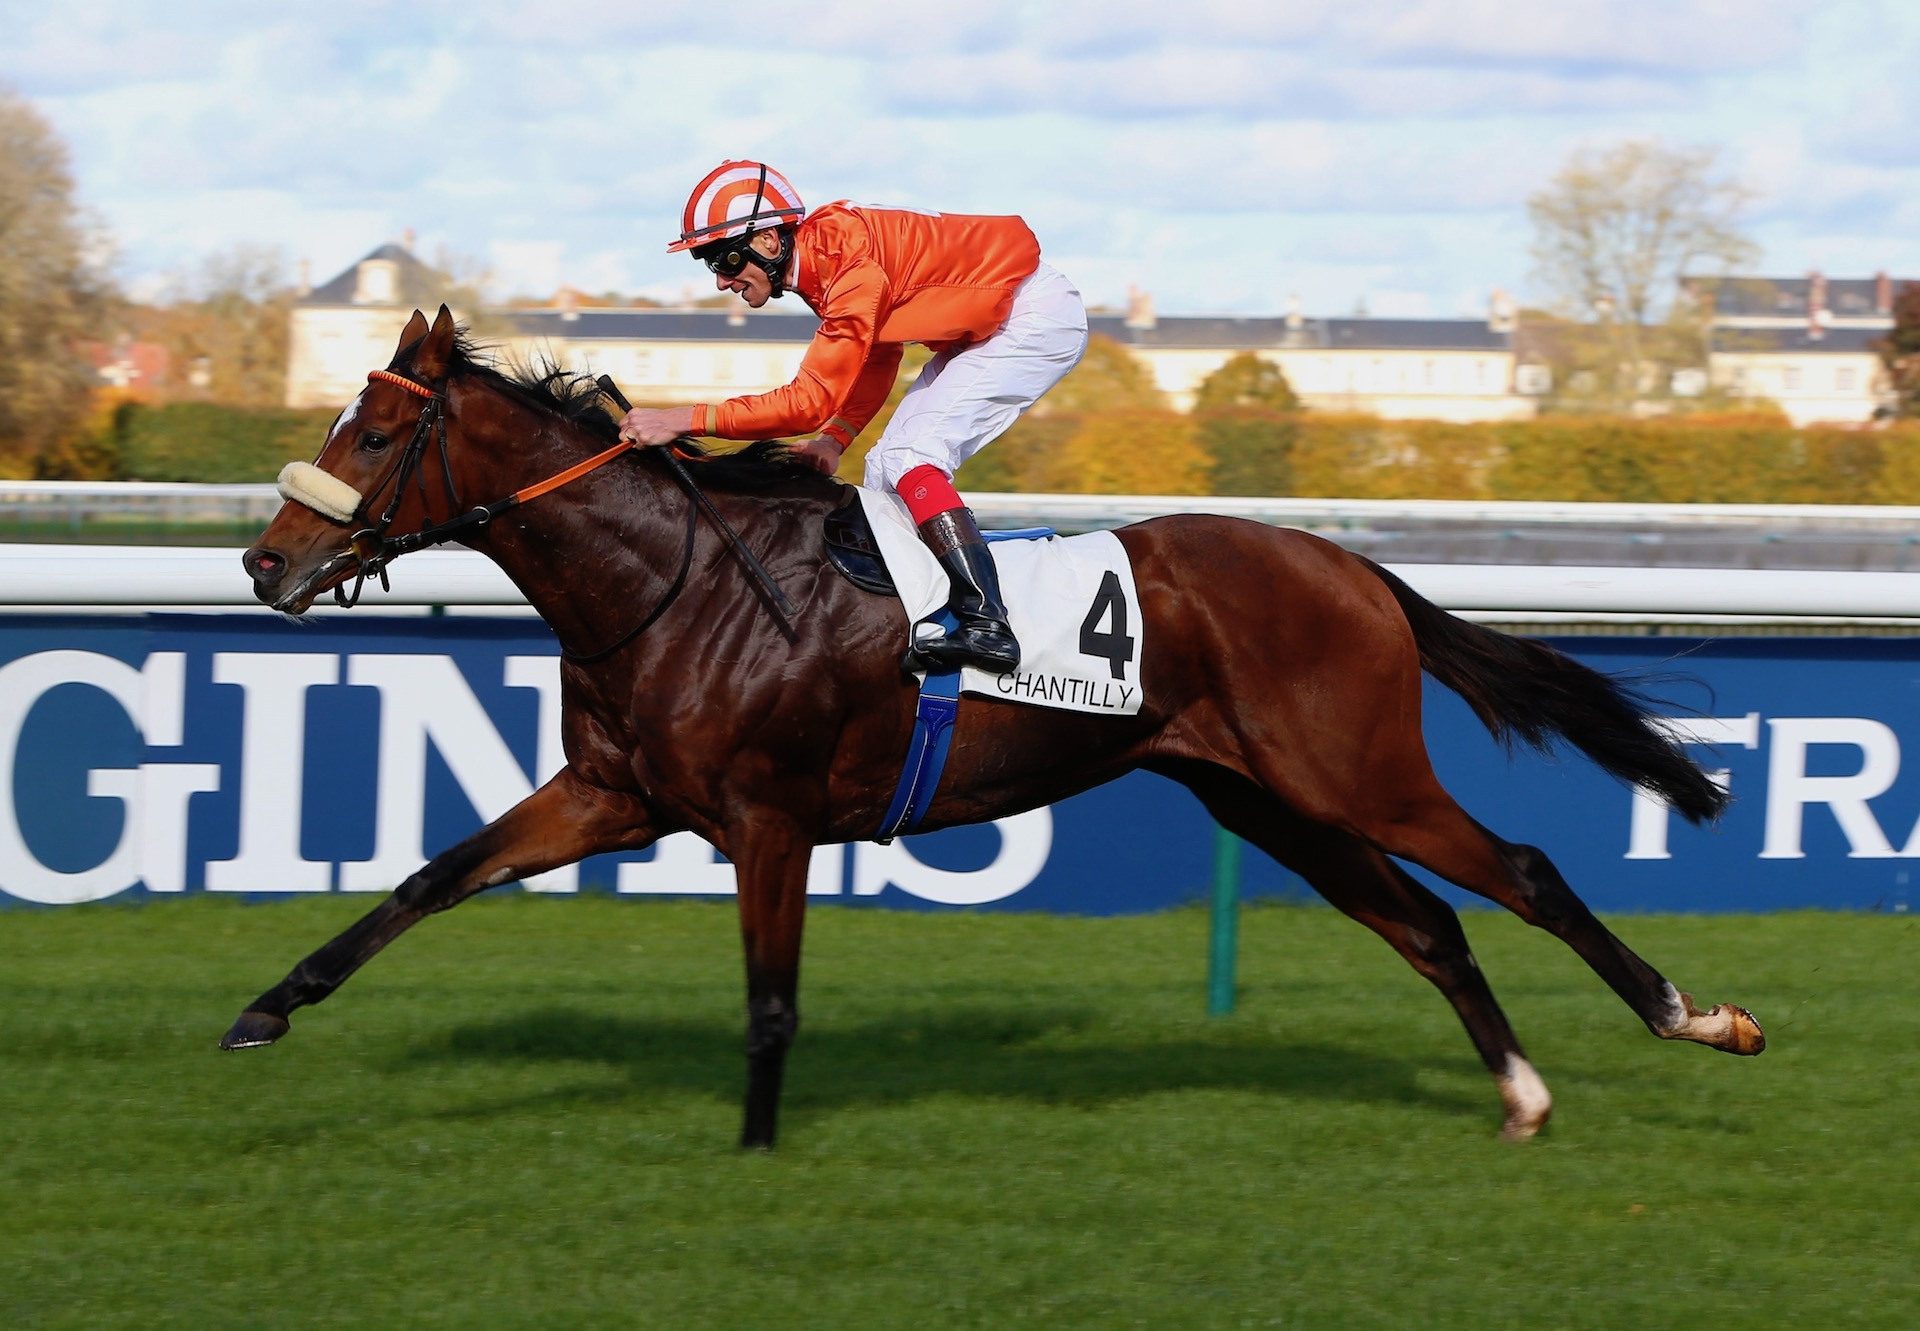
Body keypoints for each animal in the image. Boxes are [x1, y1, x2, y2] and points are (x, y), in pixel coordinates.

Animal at [217, 309, 1758, 1144]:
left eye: (372, 434)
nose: (265, 561)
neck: (672, 581)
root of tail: (1353, 568)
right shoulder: (616, 792)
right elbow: (429, 877)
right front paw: (264, 1007)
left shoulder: (771, 816)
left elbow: (770, 995)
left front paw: (756, 1147)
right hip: (1270, 799)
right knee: (1431, 924)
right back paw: (1523, 1094)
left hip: (1356, 772)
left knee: (1527, 874)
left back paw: (1697, 1014)